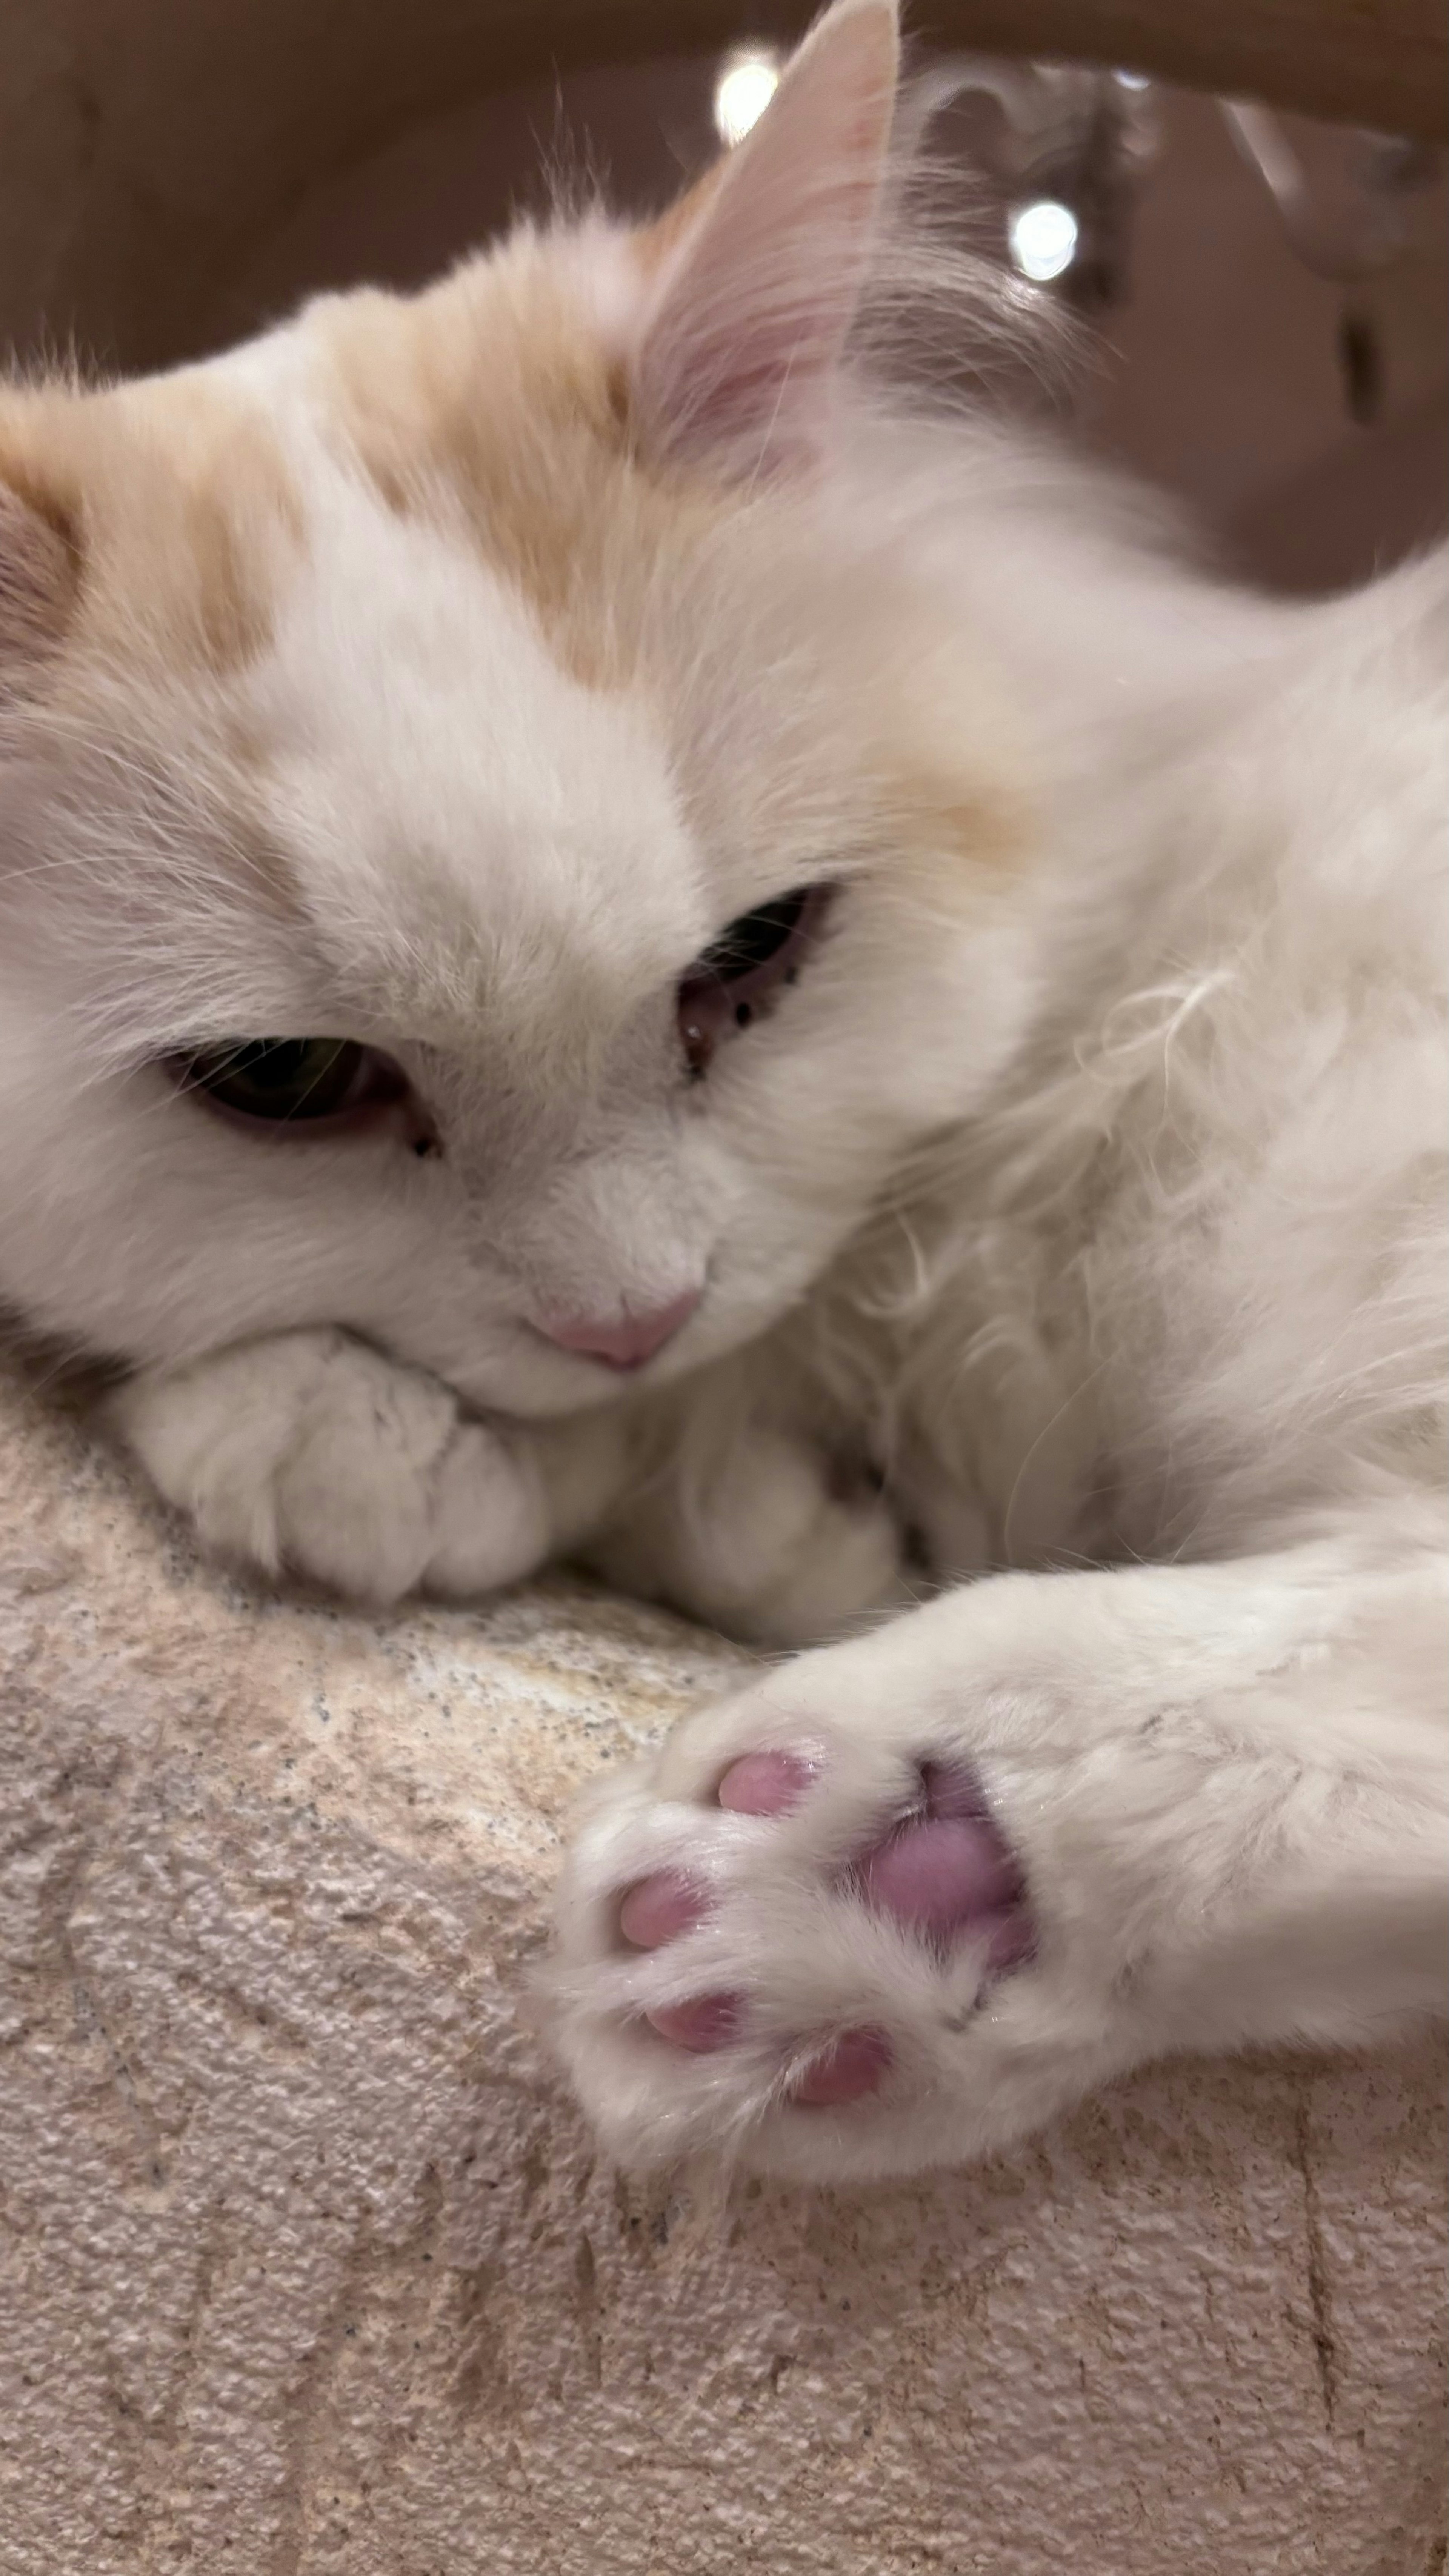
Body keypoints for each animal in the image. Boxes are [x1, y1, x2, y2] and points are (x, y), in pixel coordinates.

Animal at [0, 0, 1434, 2184]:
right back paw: (889, 1923)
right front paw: (454, 1464)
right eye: (290, 1079)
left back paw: (820, 1871)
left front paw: (367, 1453)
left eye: (752, 958)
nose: (627, 1308)